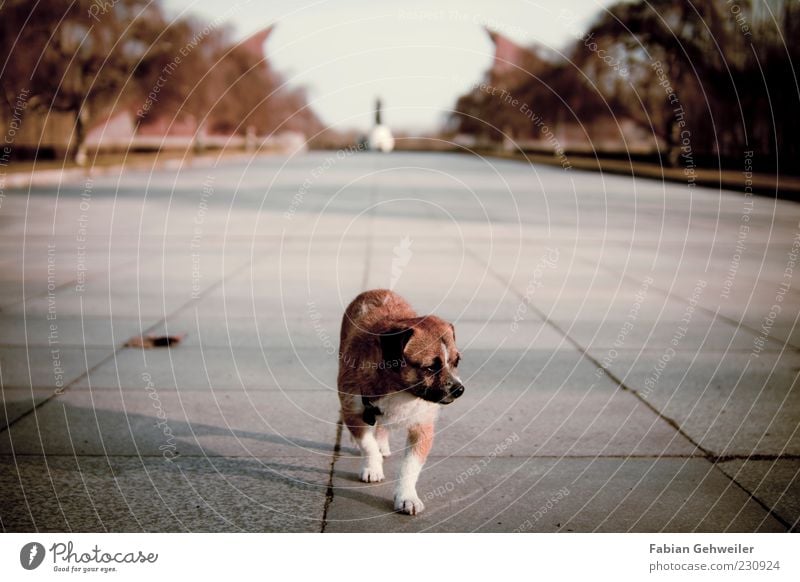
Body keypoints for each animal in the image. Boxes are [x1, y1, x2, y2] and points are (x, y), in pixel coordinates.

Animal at [336, 288, 462, 516]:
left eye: (456, 362)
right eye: (430, 367)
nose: (459, 389)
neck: (399, 390)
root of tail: (376, 290)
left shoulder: (422, 427)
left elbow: (410, 466)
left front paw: (407, 497)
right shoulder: (354, 411)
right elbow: (368, 444)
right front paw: (372, 467)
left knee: (382, 427)